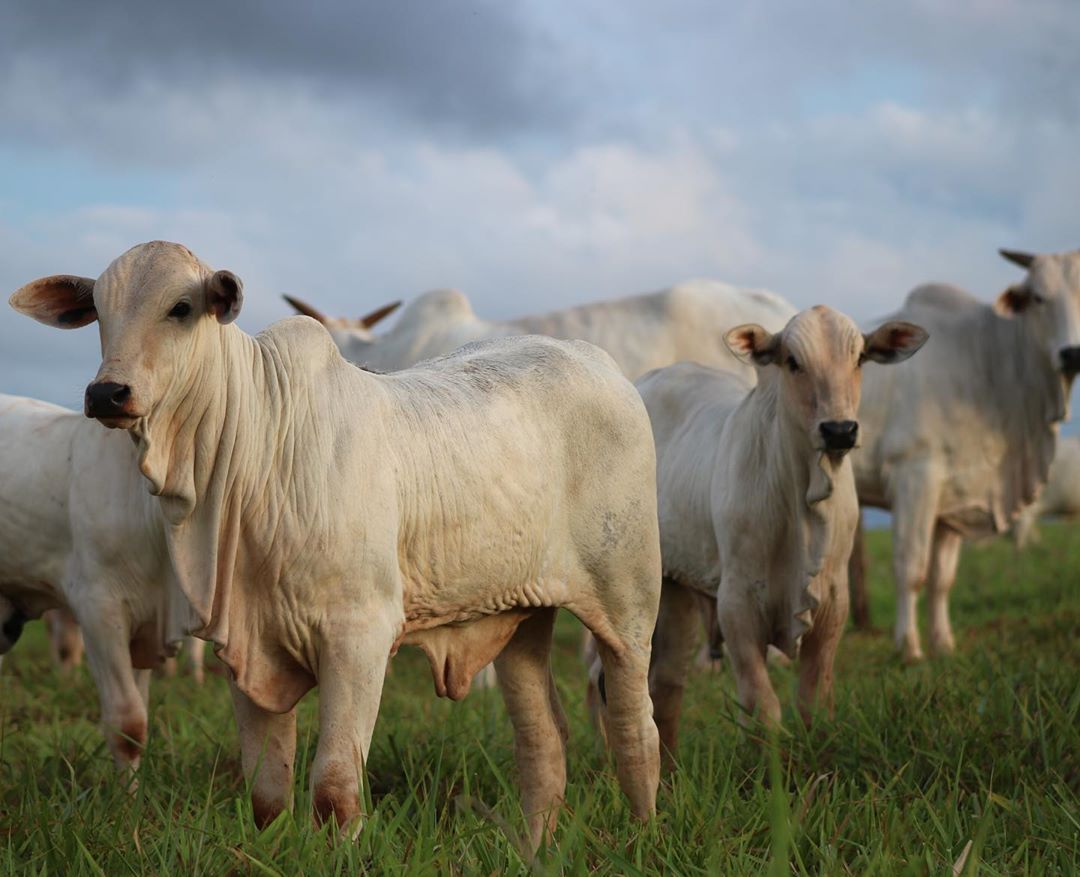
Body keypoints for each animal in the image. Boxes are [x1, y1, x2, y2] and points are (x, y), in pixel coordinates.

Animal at [12, 239, 660, 851]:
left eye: (181, 307)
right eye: (98, 311)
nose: (106, 394)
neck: (256, 444)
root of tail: (598, 363)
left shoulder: (359, 635)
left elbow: (334, 788)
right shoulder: (242, 641)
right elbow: (266, 793)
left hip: (628, 603)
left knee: (635, 727)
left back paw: (641, 833)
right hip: (522, 614)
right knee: (543, 737)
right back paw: (533, 846)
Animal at [635, 302, 924, 747]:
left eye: (859, 358)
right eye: (793, 361)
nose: (839, 430)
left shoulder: (833, 600)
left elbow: (813, 701)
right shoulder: (736, 602)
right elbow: (763, 706)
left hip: (675, 586)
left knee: (665, 686)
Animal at [851, 246, 1080, 656]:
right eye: (1039, 297)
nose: (1073, 354)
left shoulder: (955, 495)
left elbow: (942, 578)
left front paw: (943, 645)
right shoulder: (914, 475)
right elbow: (911, 568)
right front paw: (909, 648)